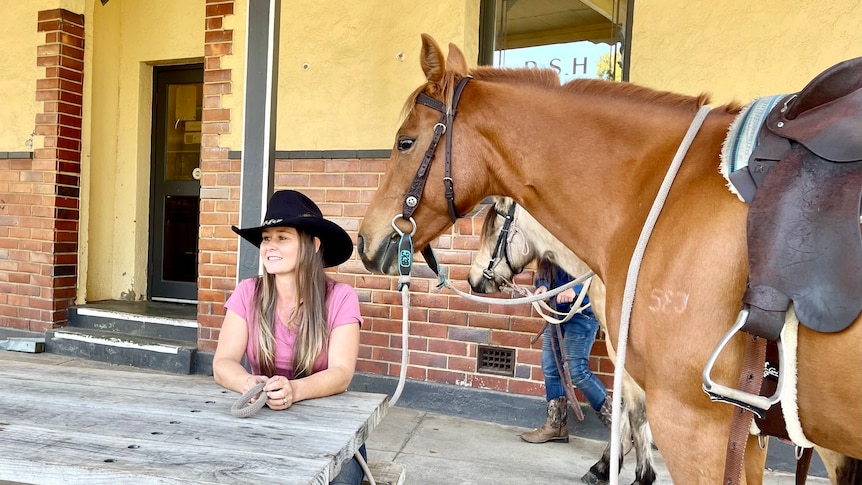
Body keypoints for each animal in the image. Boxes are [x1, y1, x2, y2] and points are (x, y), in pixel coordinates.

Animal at [470, 196, 660, 484]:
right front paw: (604, 466)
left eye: (492, 230)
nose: (472, 279)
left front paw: (640, 475)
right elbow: (626, 407)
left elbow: (636, 412)